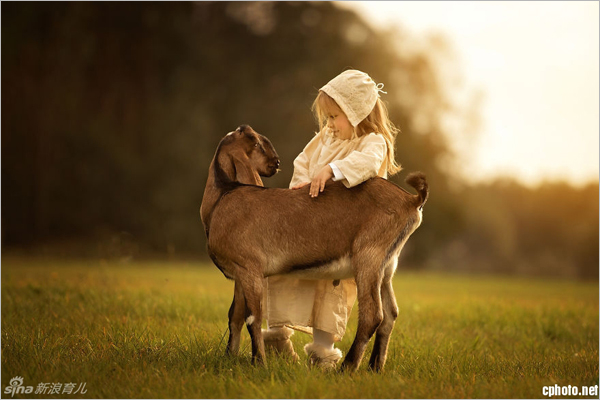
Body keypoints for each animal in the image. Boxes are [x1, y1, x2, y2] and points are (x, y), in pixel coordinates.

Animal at [202, 125, 426, 372]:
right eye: (257, 143)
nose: (276, 162)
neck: (222, 198)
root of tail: (411, 200)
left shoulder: (250, 268)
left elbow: (253, 318)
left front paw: (259, 362)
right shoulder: (240, 274)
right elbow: (235, 315)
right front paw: (229, 357)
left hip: (368, 257)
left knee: (373, 315)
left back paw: (347, 368)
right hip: (387, 266)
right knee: (390, 315)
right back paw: (374, 367)